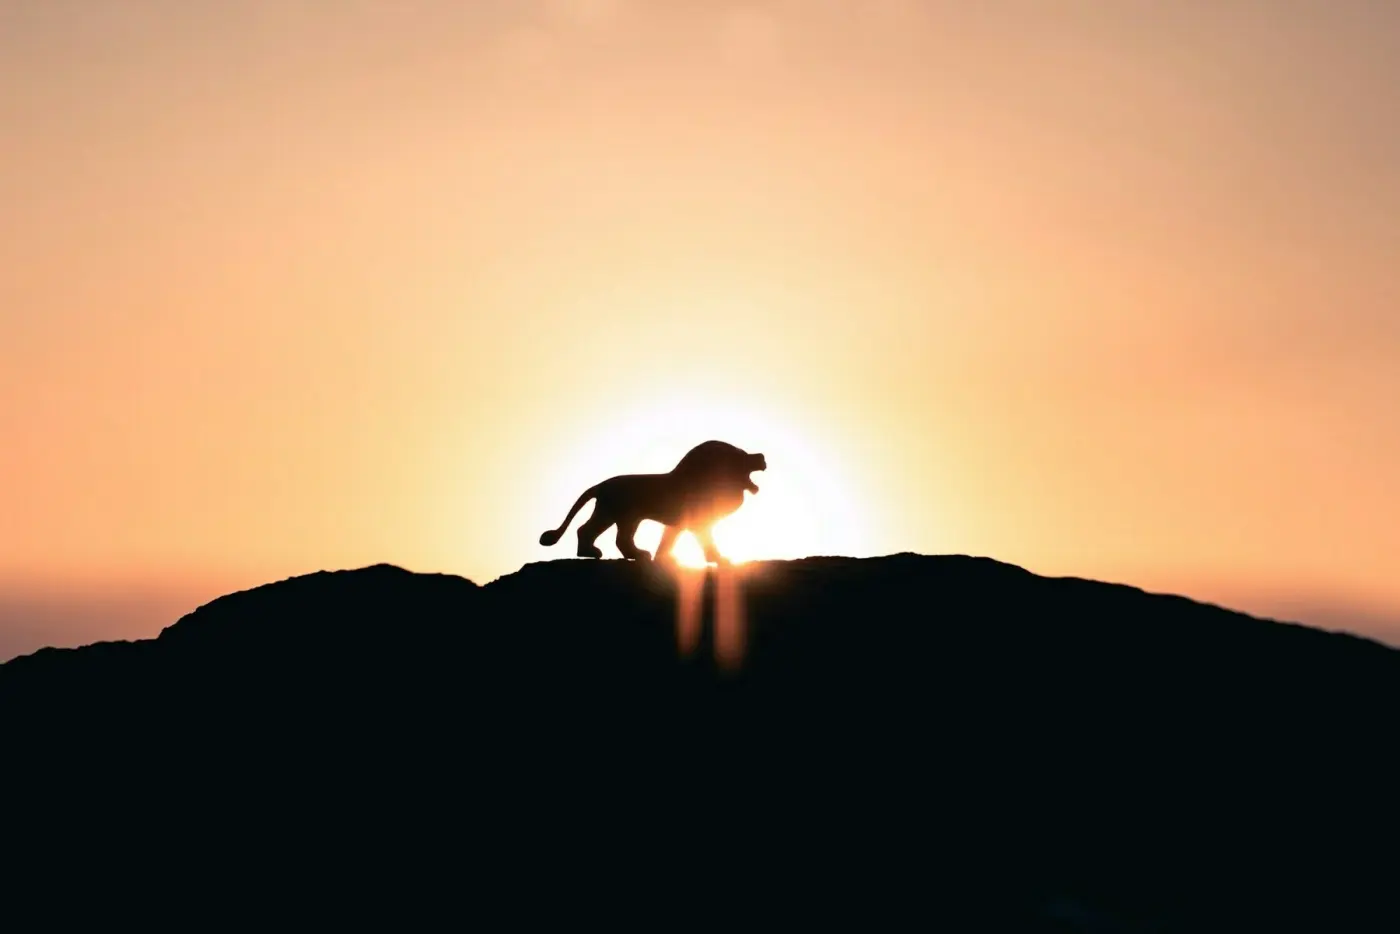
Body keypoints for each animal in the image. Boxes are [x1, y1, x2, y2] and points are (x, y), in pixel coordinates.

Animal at [538, 440, 767, 564]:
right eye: (741, 454)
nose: (762, 456)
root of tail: (600, 485)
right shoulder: (698, 522)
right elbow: (707, 541)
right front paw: (719, 559)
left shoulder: (679, 524)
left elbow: (668, 540)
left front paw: (663, 559)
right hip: (614, 512)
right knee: (591, 531)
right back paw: (594, 553)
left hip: (626, 517)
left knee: (618, 538)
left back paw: (633, 555)